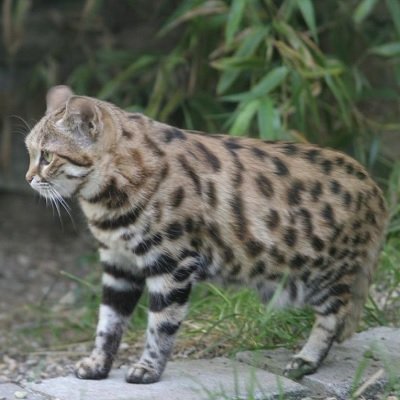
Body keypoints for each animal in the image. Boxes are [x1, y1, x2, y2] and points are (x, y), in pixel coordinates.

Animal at [25, 86, 388, 382]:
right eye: (29, 151)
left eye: (47, 156)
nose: (28, 178)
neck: (105, 199)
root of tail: (377, 191)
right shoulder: (118, 264)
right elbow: (108, 322)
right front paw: (98, 364)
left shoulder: (172, 262)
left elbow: (161, 323)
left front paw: (148, 369)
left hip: (321, 277)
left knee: (335, 315)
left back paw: (306, 360)